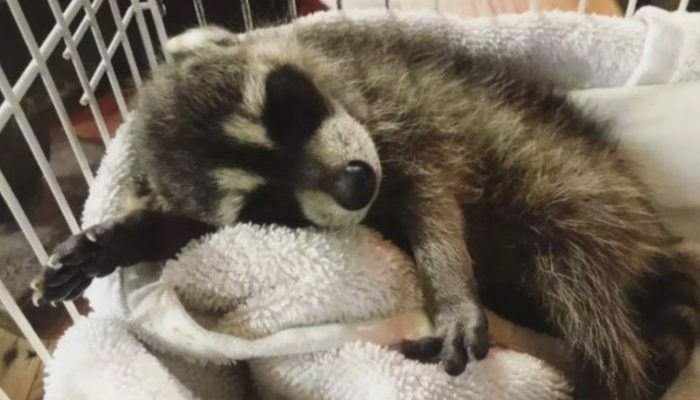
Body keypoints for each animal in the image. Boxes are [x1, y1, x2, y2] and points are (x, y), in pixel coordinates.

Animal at [36, 21, 699, 399]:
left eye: (287, 106)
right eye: (267, 203)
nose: (355, 185)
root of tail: (654, 233)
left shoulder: (400, 106)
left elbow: (433, 199)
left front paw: (450, 287)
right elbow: (187, 231)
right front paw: (122, 238)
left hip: (580, 197)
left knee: (589, 306)